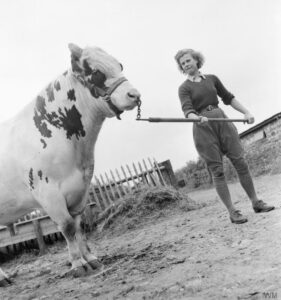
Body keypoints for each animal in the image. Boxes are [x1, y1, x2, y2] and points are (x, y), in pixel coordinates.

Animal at [0, 43, 140, 284]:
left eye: (120, 65)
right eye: (96, 72)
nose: (135, 94)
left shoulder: (81, 188)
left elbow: (77, 225)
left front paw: (90, 258)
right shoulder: (47, 192)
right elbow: (66, 227)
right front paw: (78, 264)